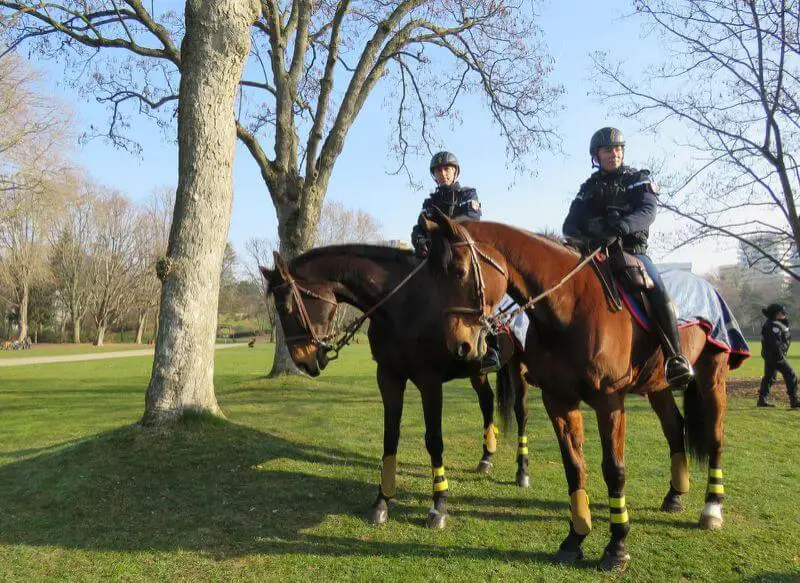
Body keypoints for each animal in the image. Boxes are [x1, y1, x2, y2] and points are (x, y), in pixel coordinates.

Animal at [260, 244, 533, 529]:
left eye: (285, 306)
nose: (302, 361)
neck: (403, 305)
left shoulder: (429, 381)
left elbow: (434, 440)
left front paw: (438, 504)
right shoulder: (388, 378)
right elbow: (390, 437)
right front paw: (382, 501)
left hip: (520, 368)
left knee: (521, 412)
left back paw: (522, 470)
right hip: (475, 371)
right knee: (487, 402)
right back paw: (486, 458)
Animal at [420, 213, 744, 571]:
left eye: (459, 270)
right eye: (431, 278)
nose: (459, 345)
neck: (569, 307)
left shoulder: (609, 401)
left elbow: (614, 470)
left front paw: (617, 547)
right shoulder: (558, 400)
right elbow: (574, 466)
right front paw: (574, 538)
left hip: (712, 376)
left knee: (715, 437)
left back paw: (711, 508)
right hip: (657, 386)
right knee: (675, 428)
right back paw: (675, 496)